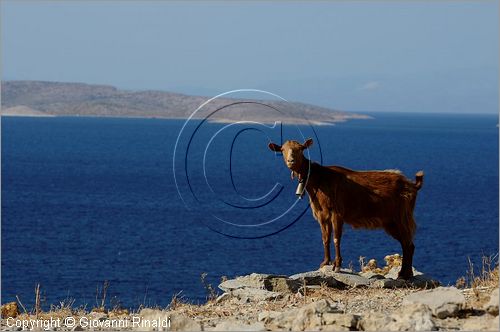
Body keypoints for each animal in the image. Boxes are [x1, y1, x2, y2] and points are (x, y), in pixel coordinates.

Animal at [270, 138, 422, 280]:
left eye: (301, 149)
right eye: (282, 149)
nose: (291, 161)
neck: (319, 179)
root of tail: (412, 185)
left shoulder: (337, 213)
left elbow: (336, 238)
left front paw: (337, 265)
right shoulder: (322, 214)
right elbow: (325, 238)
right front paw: (325, 262)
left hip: (401, 217)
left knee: (408, 244)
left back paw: (404, 274)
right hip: (391, 222)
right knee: (406, 243)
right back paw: (405, 274)